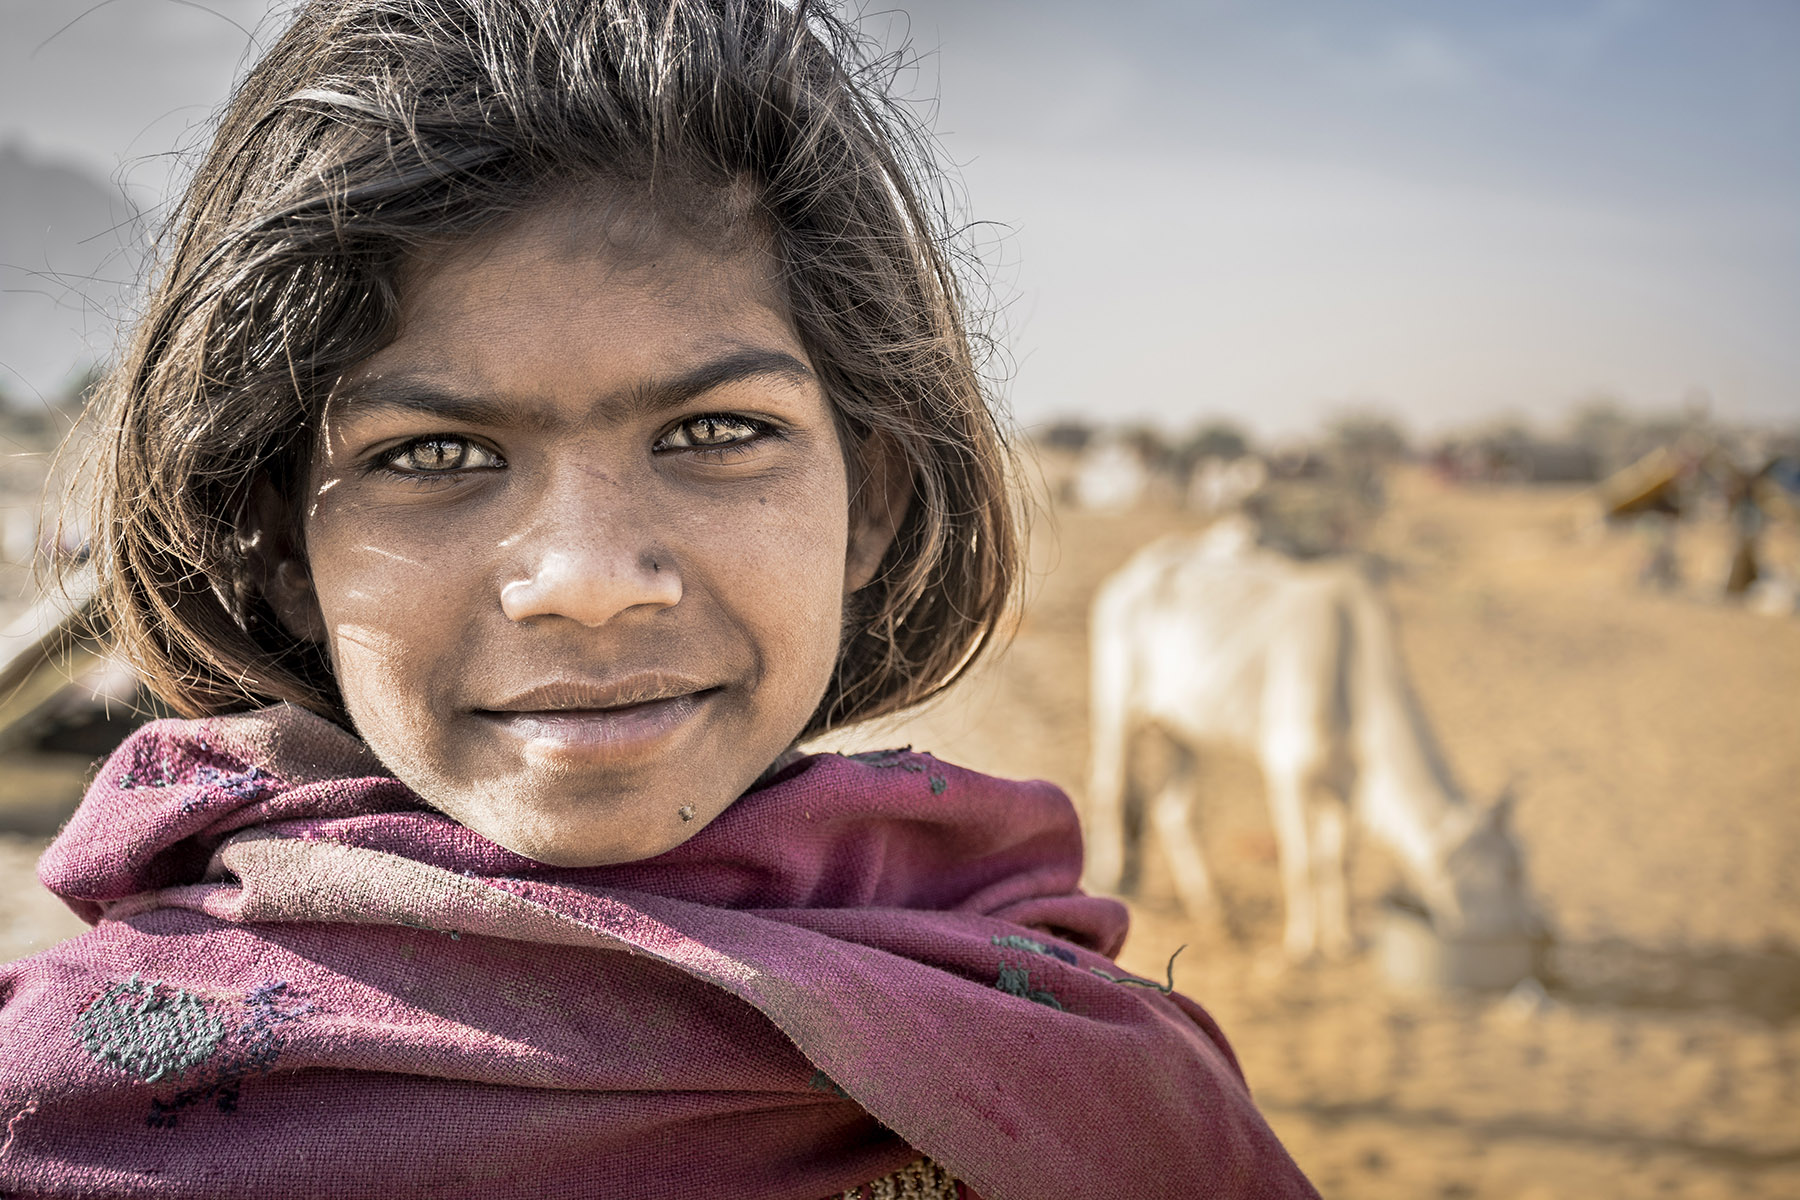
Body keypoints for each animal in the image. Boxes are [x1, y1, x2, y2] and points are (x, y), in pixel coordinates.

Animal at [1080, 521, 1533, 964]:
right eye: (1511, 870)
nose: (1528, 931)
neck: (1353, 673)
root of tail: (1130, 575)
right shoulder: (1288, 771)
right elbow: (1303, 862)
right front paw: (1302, 945)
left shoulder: (1348, 787)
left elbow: (1337, 863)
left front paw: (1342, 940)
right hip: (1116, 702)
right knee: (1109, 787)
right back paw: (1111, 881)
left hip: (1184, 728)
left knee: (1174, 810)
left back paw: (1212, 909)